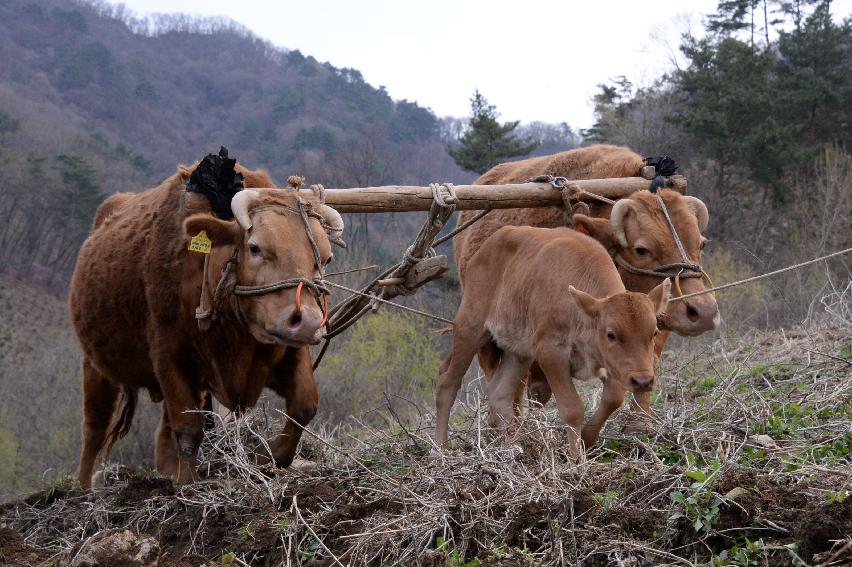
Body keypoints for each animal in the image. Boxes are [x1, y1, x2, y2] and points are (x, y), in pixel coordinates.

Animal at [436, 226, 668, 452]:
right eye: (611, 334)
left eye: (654, 332)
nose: (643, 381)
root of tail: (485, 247)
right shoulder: (550, 352)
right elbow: (572, 408)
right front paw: (577, 459)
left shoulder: (612, 365)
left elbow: (614, 397)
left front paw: (587, 438)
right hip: (469, 328)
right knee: (448, 383)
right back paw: (441, 448)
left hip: (519, 351)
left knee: (500, 394)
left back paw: (513, 445)